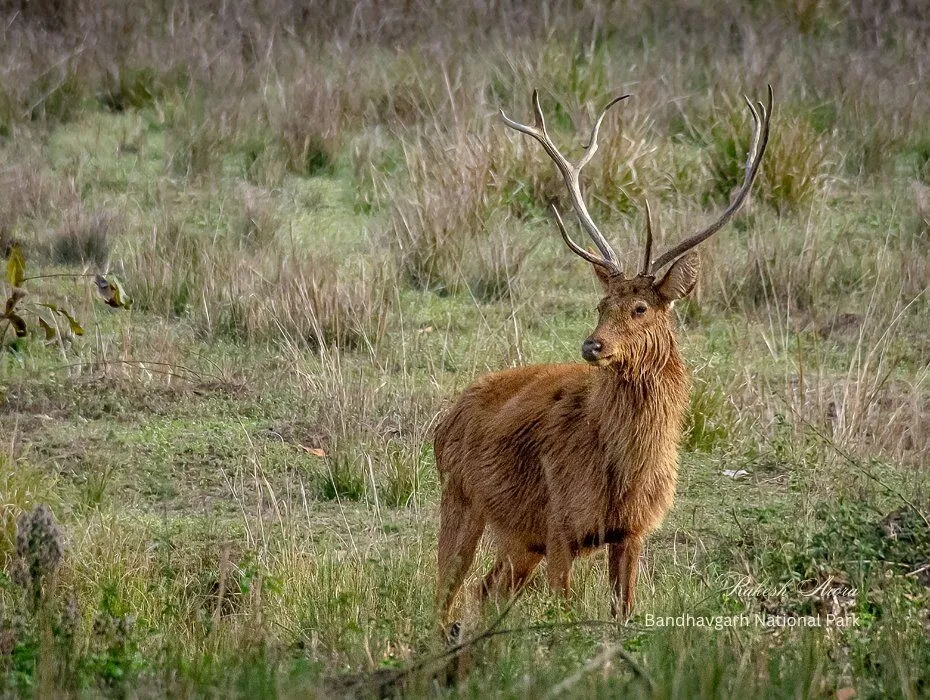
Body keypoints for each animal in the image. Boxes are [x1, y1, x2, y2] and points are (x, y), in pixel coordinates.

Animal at [434, 86, 773, 624]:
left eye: (640, 307)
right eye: (600, 304)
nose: (592, 345)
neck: (623, 473)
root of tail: (443, 421)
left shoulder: (632, 532)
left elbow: (622, 614)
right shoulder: (559, 524)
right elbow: (563, 616)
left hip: (519, 539)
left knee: (483, 591)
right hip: (461, 498)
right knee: (444, 591)